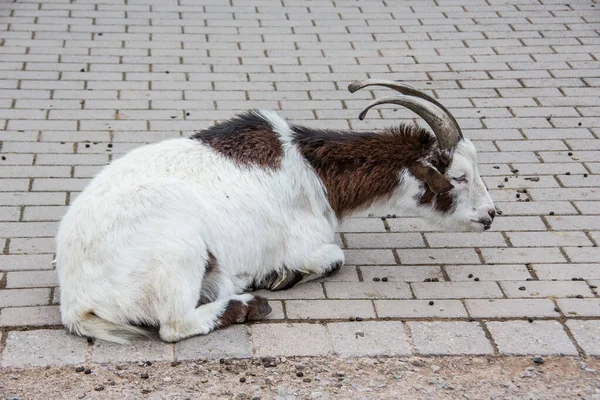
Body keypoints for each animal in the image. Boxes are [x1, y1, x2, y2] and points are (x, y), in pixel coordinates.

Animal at [56, 79, 494, 344]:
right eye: (458, 176)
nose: (491, 215)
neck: (309, 167)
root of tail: (77, 300)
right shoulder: (306, 242)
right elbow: (336, 257)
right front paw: (280, 276)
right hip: (179, 250)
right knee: (173, 325)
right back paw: (248, 303)